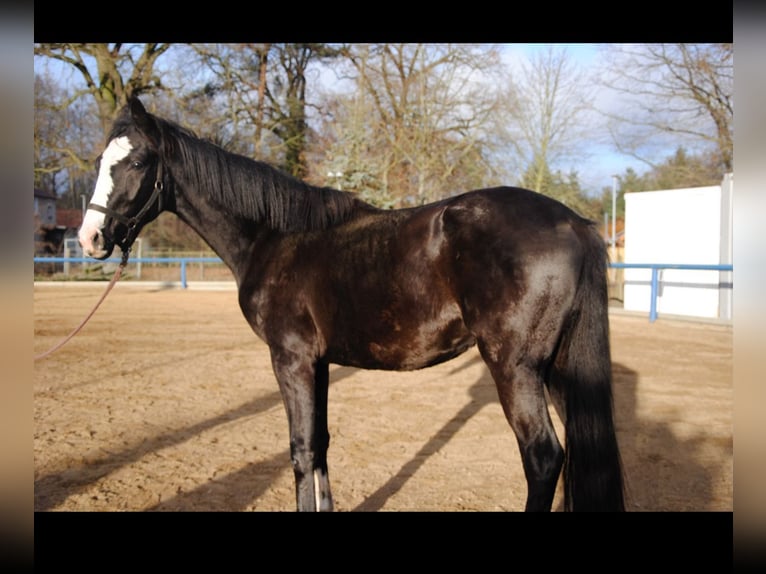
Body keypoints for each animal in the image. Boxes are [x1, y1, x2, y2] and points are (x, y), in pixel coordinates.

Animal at [78, 97, 625, 512]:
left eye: (136, 162)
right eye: (102, 161)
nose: (90, 238)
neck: (275, 237)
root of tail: (574, 222)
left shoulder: (291, 358)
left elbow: (301, 451)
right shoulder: (318, 362)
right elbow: (320, 444)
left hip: (516, 367)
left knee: (542, 457)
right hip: (557, 368)